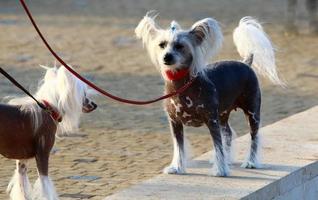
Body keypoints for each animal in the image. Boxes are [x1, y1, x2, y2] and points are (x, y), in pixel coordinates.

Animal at [0, 66, 96, 200]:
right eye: (83, 94)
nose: (95, 105)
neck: (49, 109)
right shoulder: (42, 154)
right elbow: (45, 184)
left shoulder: (22, 162)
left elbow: (22, 186)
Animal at [135, 12, 284, 177]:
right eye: (162, 44)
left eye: (180, 46)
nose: (166, 57)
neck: (182, 86)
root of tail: (245, 62)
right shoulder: (174, 122)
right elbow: (179, 147)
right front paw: (177, 167)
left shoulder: (211, 120)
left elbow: (217, 145)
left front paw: (220, 170)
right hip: (223, 115)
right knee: (228, 133)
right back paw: (228, 160)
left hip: (252, 111)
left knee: (254, 136)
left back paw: (251, 162)